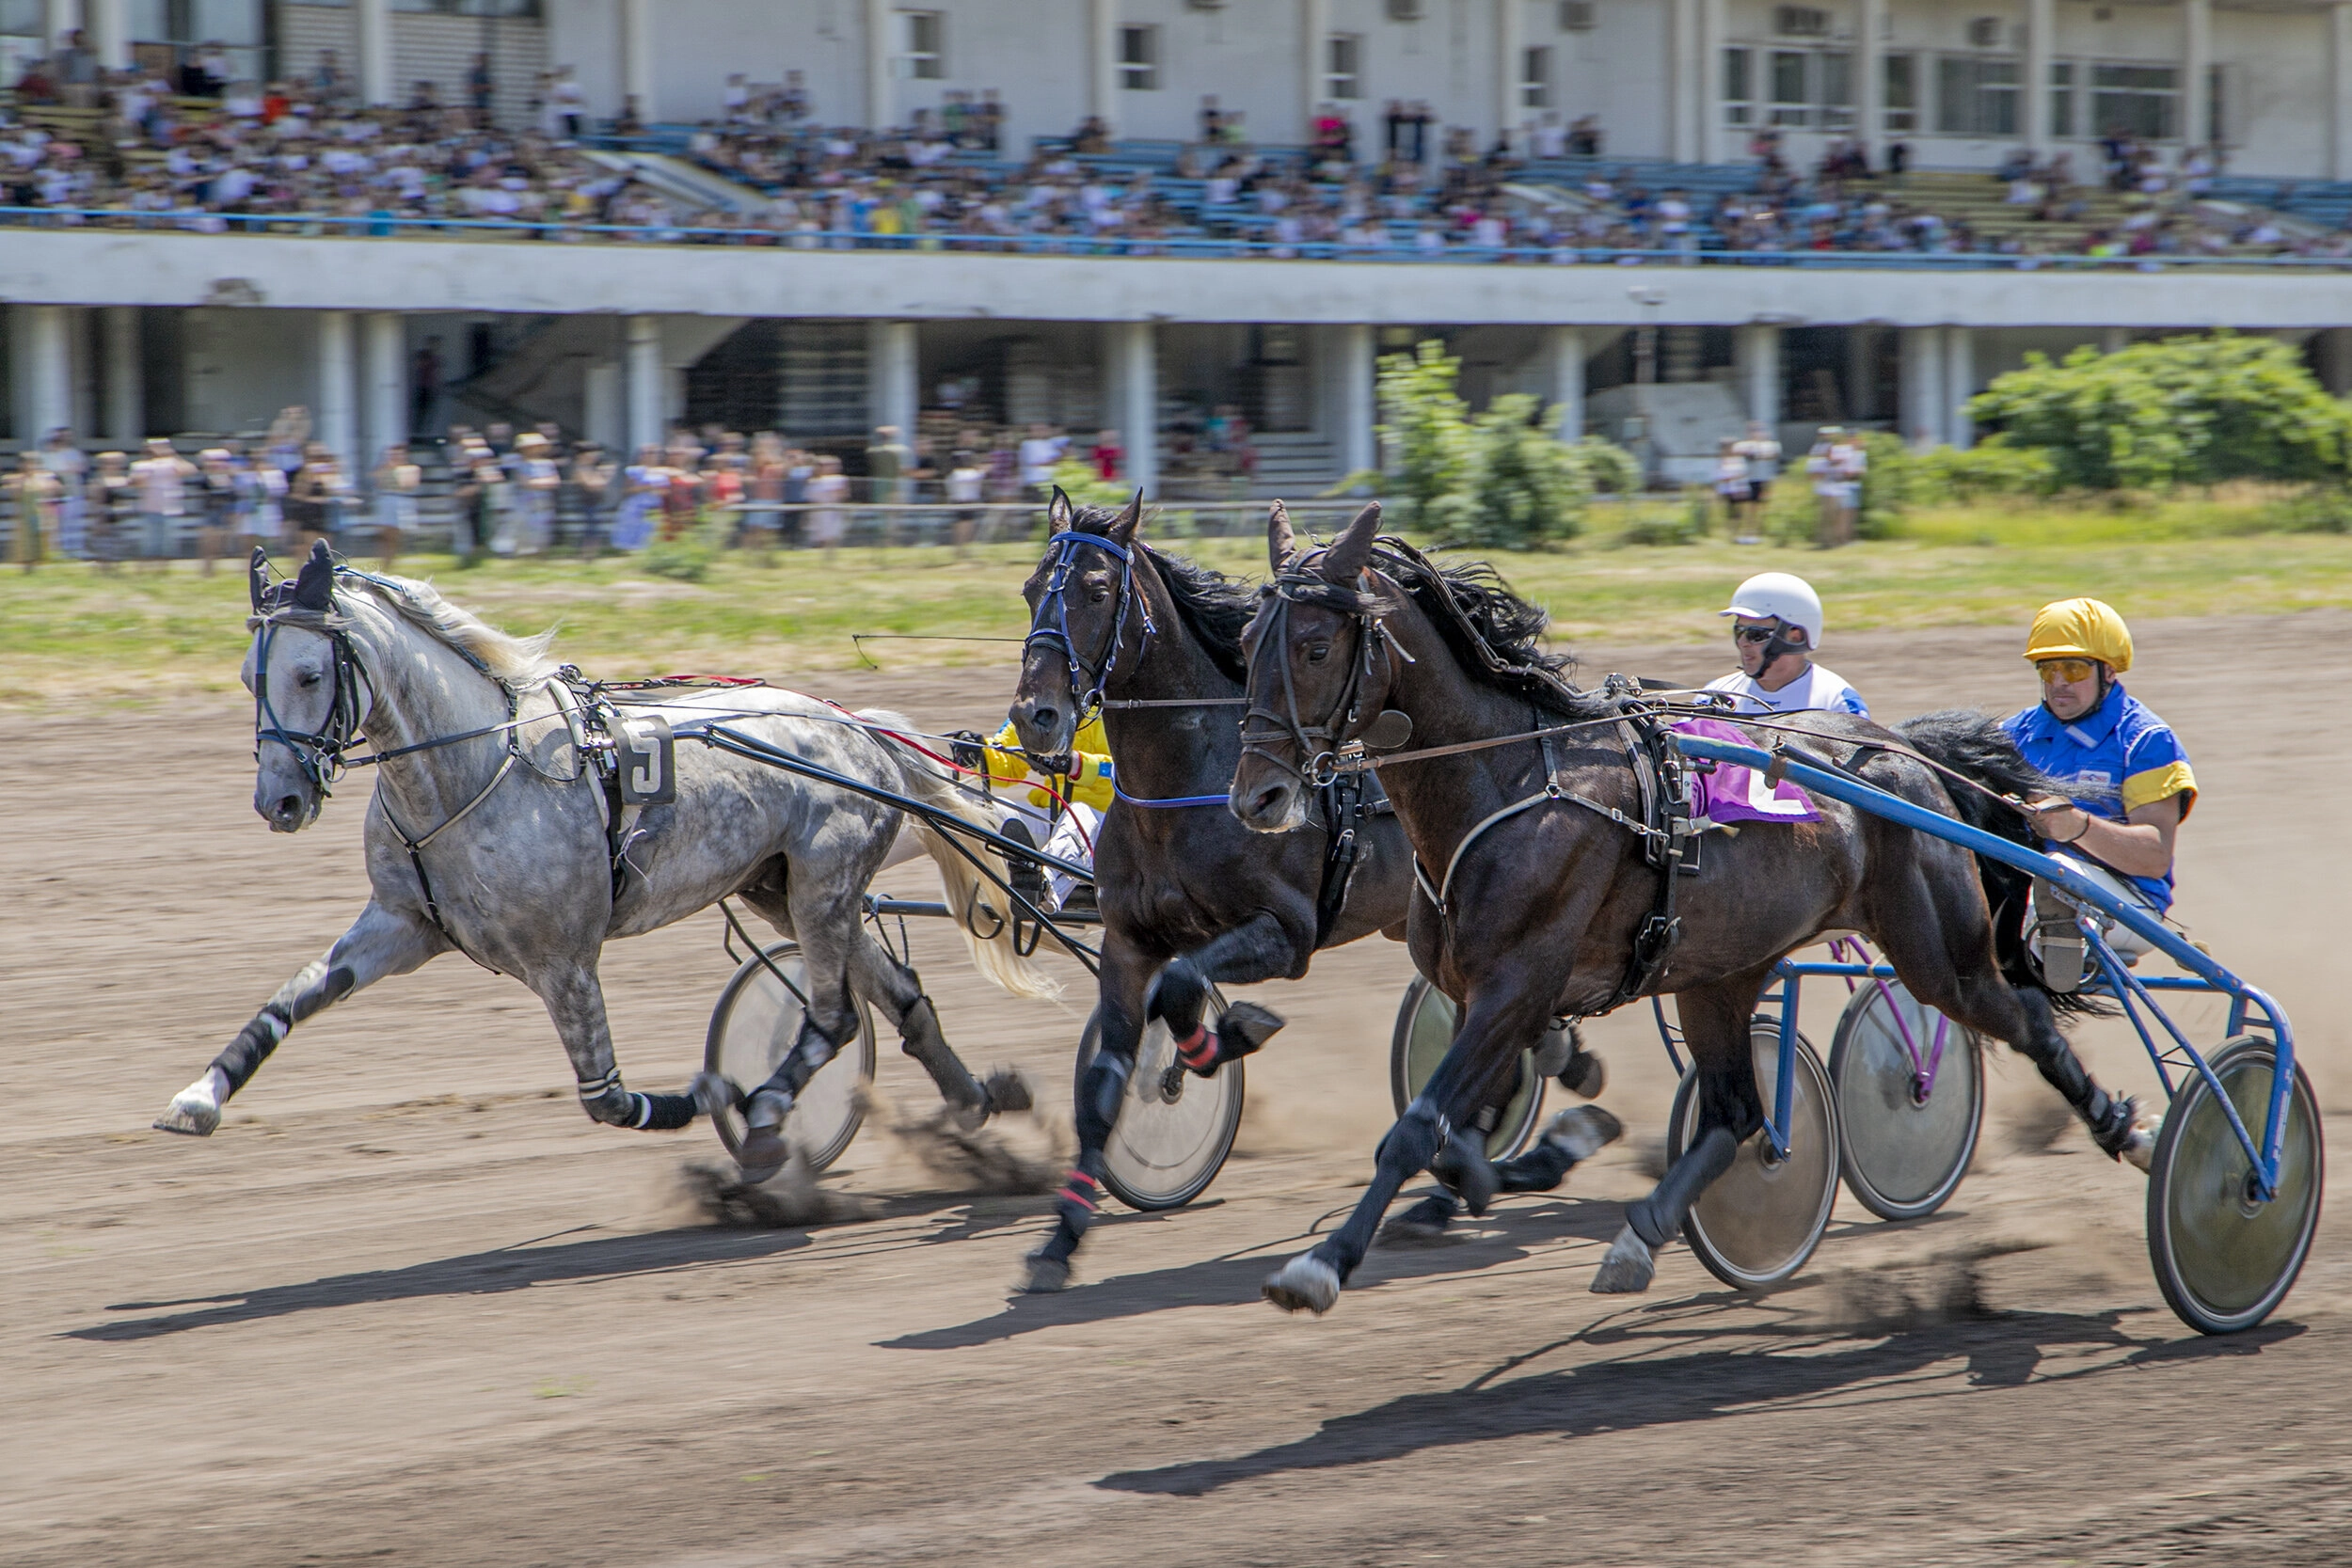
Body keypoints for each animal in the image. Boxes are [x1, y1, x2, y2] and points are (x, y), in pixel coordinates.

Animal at [161, 545, 1044, 1170]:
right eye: (249, 677)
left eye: (310, 673)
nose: (279, 801)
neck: (473, 770)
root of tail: (857, 728)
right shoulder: (402, 924)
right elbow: (290, 1000)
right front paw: (199, 1096)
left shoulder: (564, 961)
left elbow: (607, 1097)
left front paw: (709, 1092)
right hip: (783, 890)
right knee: (899, 996)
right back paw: (974, 1099)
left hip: (824, 885)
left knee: (832, 1015)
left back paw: (764, 1115)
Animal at [1232, 502, 2154, 1316]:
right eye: (1244, 641)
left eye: (1315, 645)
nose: (1257, 797)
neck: (1512, 780)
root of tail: (1906, 755)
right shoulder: (1478, 994)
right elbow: (1466, 1129)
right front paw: (1516, 1163)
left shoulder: (1518, 984)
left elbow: (1420, 1125)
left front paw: (1321, 1263)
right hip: (1722, 970)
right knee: (1737, 1110)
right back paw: (1640, 1236)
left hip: (1937, 955)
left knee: (2026, 1019)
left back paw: (2127, 1130)